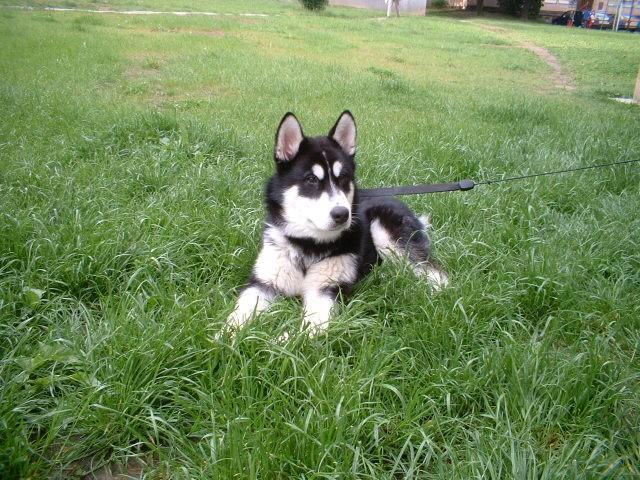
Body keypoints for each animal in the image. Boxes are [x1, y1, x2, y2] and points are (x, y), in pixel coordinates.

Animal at [228, 110, 448, 336]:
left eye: (343, 177)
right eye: (311, 179)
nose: (342, 214)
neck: (308, 245)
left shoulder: (326, 289)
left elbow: (308, 330)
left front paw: (282, 340)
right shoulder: (263, 283)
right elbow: (239, 313)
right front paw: (227, 336)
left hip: (386, 234)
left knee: (434, 272)